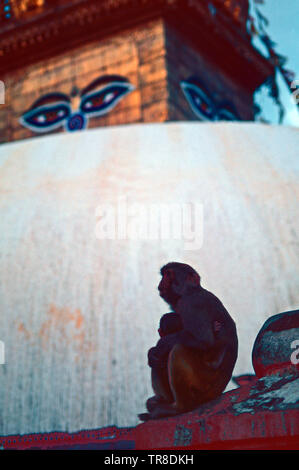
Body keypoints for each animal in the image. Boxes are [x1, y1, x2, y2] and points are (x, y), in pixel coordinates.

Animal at [138, 262, 239, 420]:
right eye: (164, 274)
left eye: (168, 274)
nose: (161, 282)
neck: (190, 291)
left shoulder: (192, 303)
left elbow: (203, 339)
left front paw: (159, 345)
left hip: (203, 383)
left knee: (178, 350)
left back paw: (178, 408)